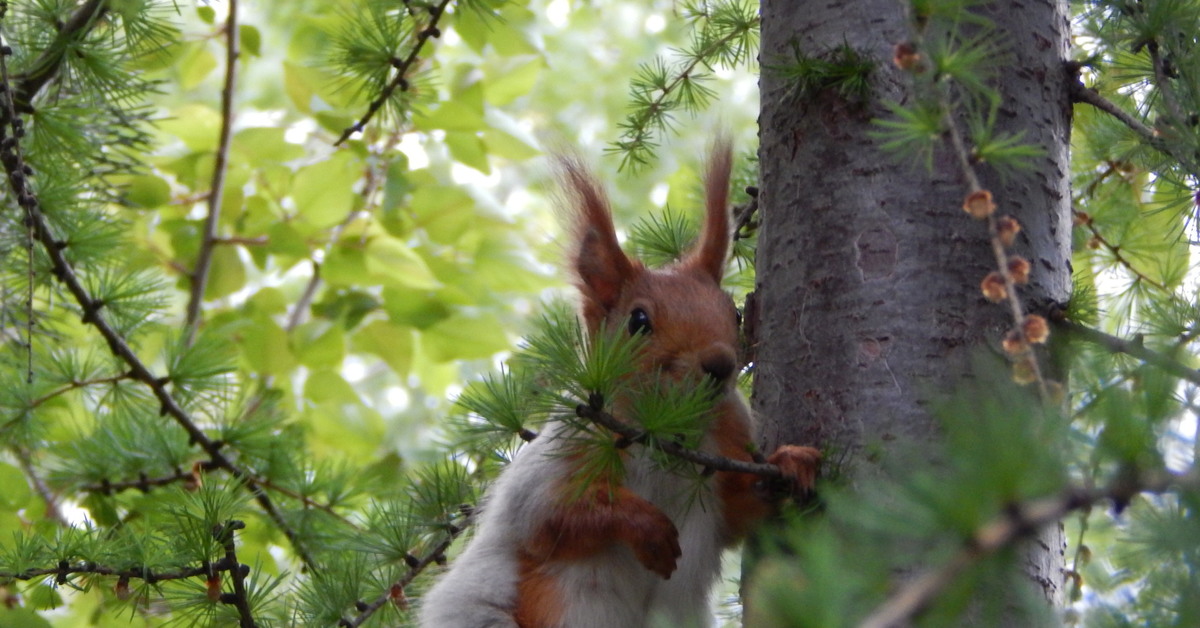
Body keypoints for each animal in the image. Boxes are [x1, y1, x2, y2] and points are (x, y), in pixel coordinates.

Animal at [417, 141, 820, 628]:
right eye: (639, 321)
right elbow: (552, 516)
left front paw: (791, 464)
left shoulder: (724, 463)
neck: (665, 431)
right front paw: (647, 528)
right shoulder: (555, 464)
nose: (721, 364)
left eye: (735, 311)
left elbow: (744, 511)